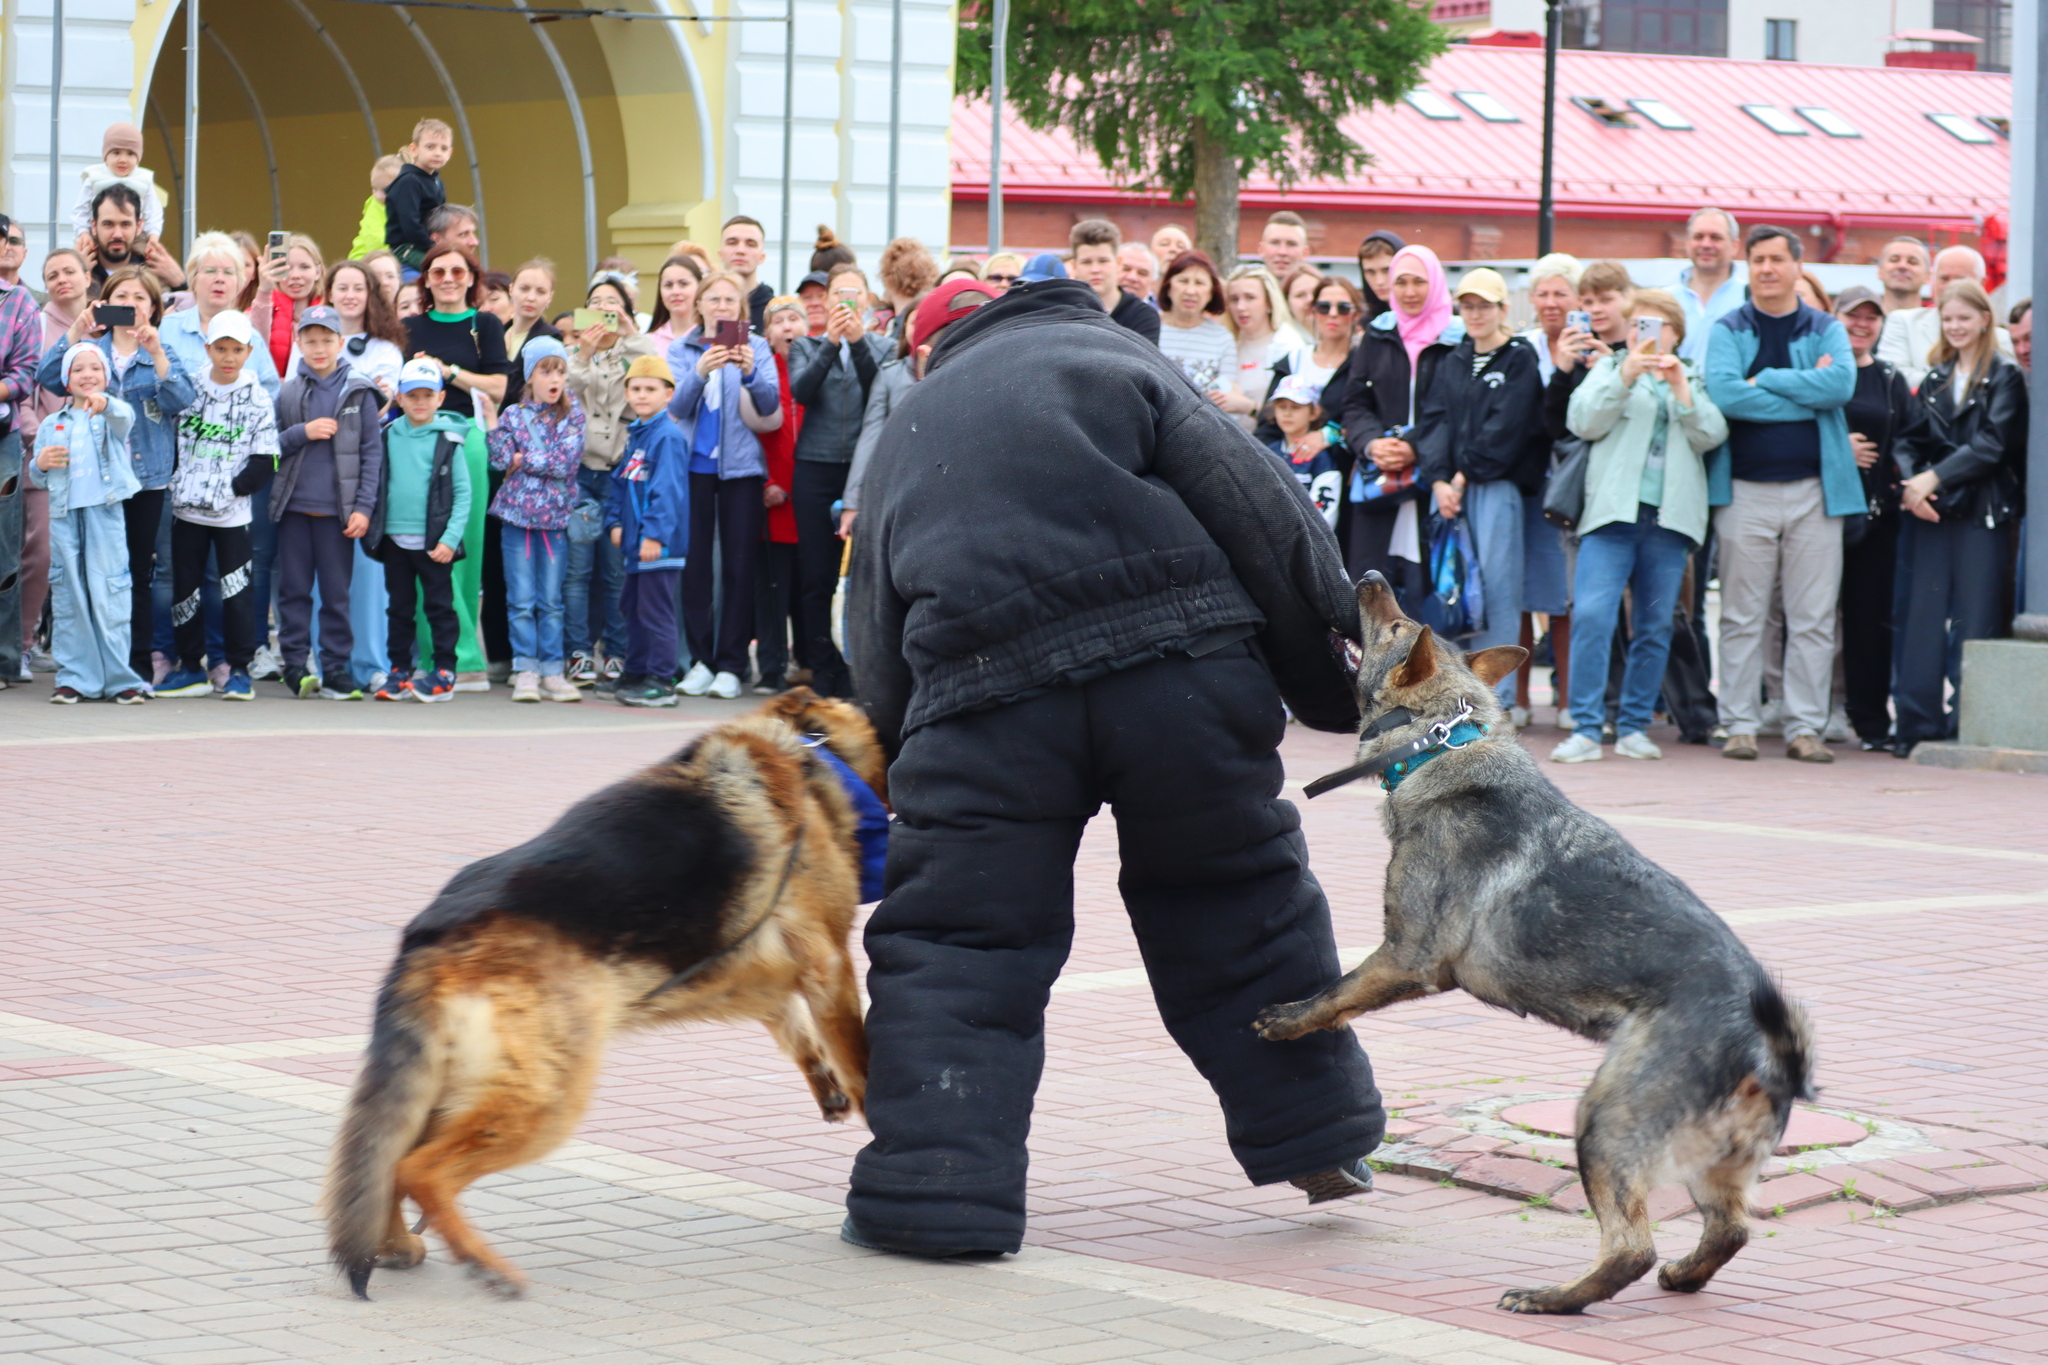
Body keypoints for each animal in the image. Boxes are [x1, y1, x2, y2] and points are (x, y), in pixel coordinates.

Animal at [323, 695, 884, 1301]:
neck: (807, 748)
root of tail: (428, 935)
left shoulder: (750, 975)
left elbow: (793, 1024)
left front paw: (824, 1080)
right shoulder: (828, 963)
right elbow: (855, 1053)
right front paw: (868, 1101)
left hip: (459, 1085)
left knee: (391, 1157)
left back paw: (397, 1244)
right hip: (545, 1097)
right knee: (419, 1167)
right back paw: (482, 1263)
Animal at [1253, 573, 1818, 1317]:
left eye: (1395, 623)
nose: (1369, 577)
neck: (1443, 742)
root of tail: (1764, 1038)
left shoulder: (1407, 956)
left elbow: (1333, 995)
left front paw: (1288, 1018)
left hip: (1602, 1120)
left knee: (1631, 1247)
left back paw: (1555, 1297)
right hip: (1703, 1155)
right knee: (1730, 1229)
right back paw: (1682, 1275)